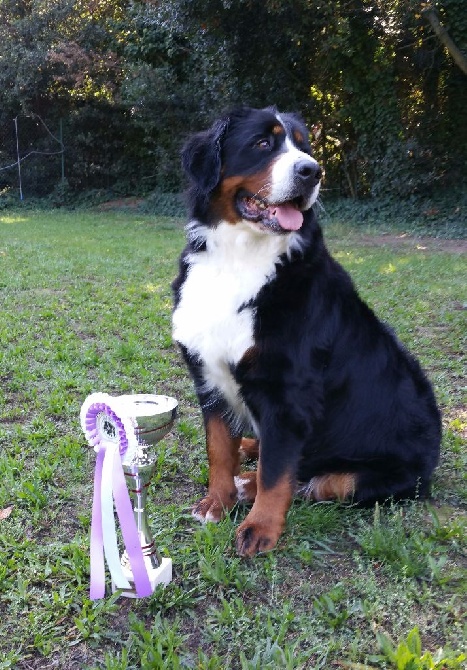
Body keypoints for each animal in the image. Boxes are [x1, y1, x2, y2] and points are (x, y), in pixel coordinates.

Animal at [172, 103, 442, 556]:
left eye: (304, 147)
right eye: (263, 142)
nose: (312, 171)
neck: (241, 259)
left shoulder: (288, 393)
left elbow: (276, 472)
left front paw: (259, 527)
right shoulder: (208, 375)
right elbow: (219, 449)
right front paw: (216, 501)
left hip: (372, 475)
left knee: (317, 480)